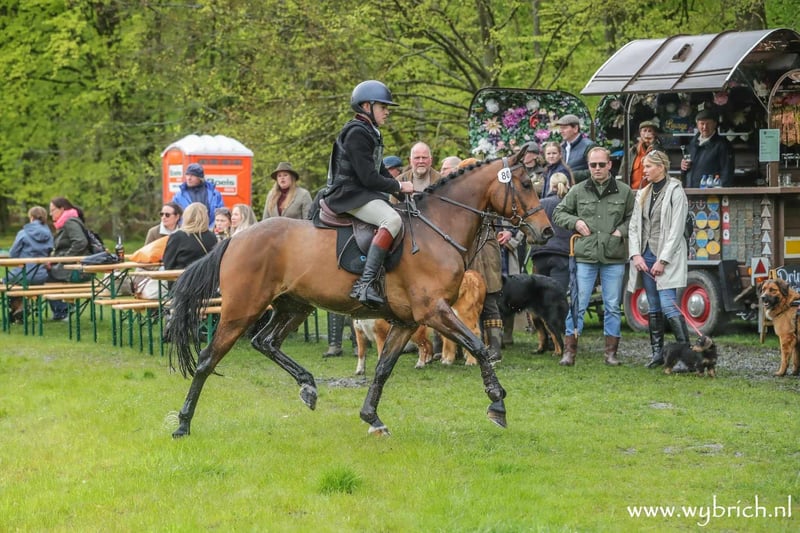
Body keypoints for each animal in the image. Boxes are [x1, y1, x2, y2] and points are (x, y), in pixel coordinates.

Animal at [167, 146, 553, 438]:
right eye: (525, 183)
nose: (546, 232)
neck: (437, 229)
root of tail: (236, 238)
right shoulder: (434, 311)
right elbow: (478, 347)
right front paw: (497, 404)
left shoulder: (407, 321)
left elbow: (383, 368)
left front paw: (372, 417)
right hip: (241, 310)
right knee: (208, 359)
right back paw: (183, 424)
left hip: (294, 306)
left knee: (266, 342)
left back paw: (307, 386)